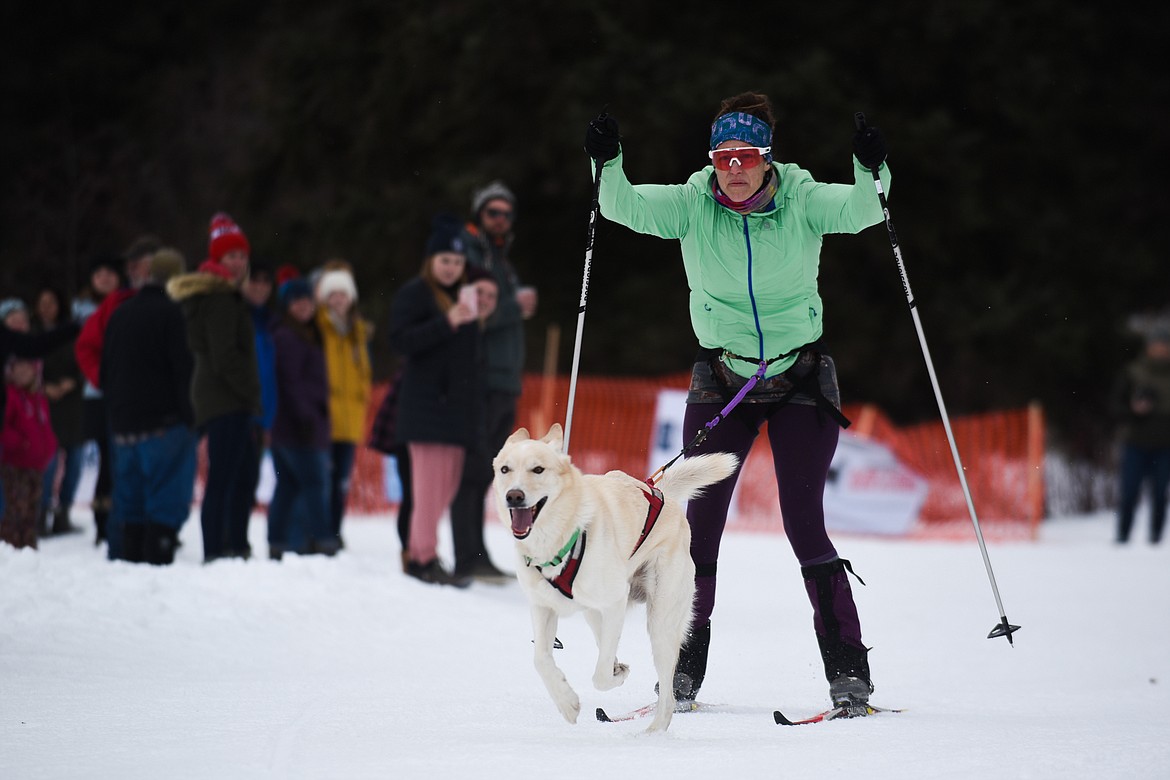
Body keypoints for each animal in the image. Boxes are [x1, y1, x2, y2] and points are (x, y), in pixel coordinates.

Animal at [491, 423, 730, 734]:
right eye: (505, 469)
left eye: (538, 469)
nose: (513, 496)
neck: (560, 539)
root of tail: (660, 493)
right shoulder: (543, 606)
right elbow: (541, 659)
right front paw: (567, 702)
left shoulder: (614, 603)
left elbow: (600, 675)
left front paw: (614, 675)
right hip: (594, 613)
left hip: (660, 623)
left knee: (666, 696)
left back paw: (652, 732)